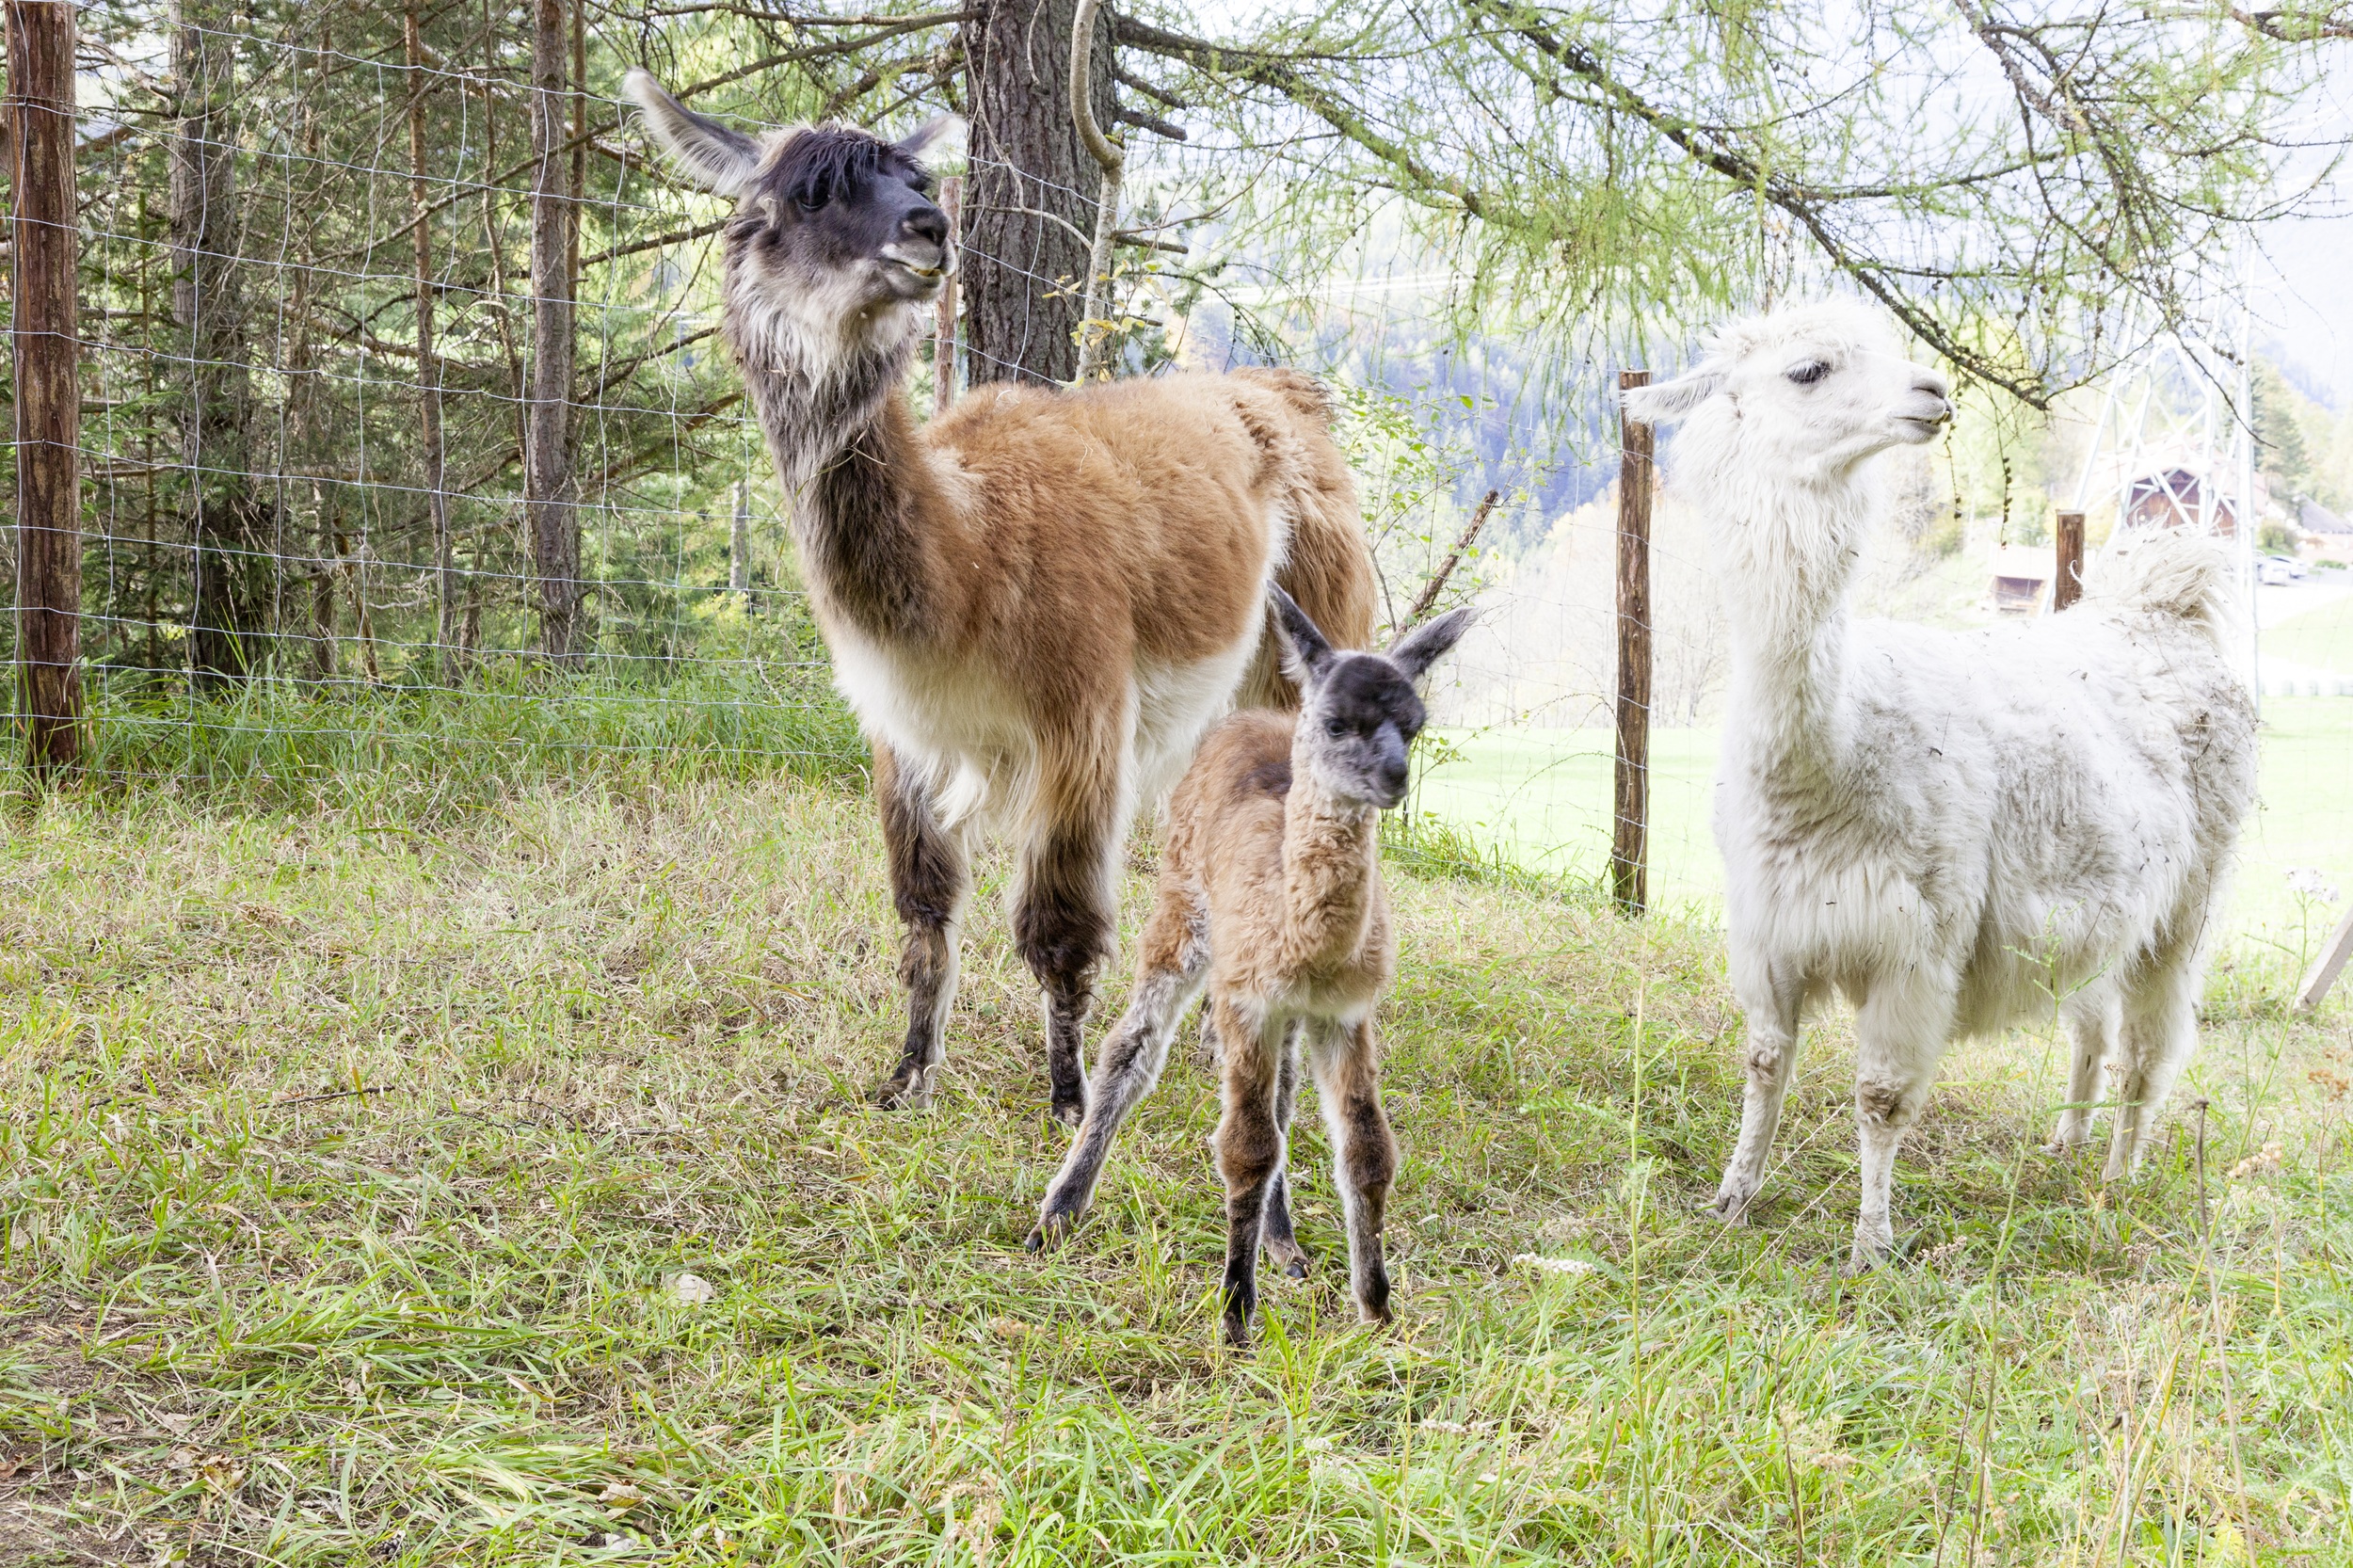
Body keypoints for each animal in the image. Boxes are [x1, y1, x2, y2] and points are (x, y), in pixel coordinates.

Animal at [1028, 588, 1474, 1344]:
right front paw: (1236, 1314)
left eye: (1413, 726)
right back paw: (1059, 1211)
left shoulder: (1343, 1013)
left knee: (1284, 1100)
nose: (1394, 777)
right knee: (1131, 1048)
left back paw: (1282, 1240)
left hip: (1285, 1014)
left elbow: (1366, 1152)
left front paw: (1376, 1311)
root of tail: (1248, 716)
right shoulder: (1244, 1000)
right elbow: (1247, 1147)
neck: (1307, 944)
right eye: (1336, 721)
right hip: (1184, 908)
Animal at [1623, 302, 2258, 1272]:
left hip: (2190, 900)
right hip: (2099, 900)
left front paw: (1870, 1245)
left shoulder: (1917, 943)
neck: (1831, 766)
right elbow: (1764, 1065)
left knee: (2148, 1051)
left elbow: (1880, 1097)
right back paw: (2066, 1145)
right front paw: (1732, 1197)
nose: (1933, 391)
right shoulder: (1769, 929)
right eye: (1810, 369)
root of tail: (2164, 611)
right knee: (2092, 1025)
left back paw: (2118, 1176)